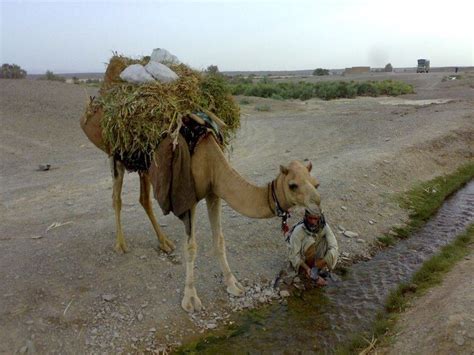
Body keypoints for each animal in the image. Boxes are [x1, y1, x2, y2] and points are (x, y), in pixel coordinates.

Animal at [80, 110, 322, 312]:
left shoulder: (214, 192)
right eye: (293, 185)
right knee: (117, 198)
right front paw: (190, 299)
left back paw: (164, 243)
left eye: (315, 183)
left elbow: (219, 240)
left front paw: (233, 284)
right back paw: (121, 244)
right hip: (117, 157)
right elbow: (191, 247)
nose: (317, 205)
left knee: (144, 198)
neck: (210, 159)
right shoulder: (189, 199)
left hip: (146, 166)